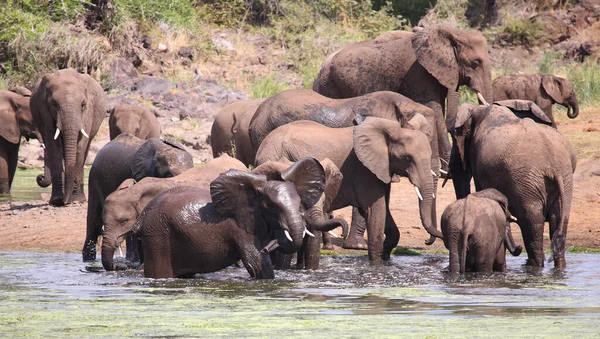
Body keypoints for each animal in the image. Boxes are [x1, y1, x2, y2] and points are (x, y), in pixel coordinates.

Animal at [30, 68, 108, 206]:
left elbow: (80, 145)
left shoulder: (88, 113)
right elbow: (53, 146)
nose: (65, 202)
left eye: (83, 105)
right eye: (54, 104)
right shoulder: (44, 111)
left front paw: (75, 200)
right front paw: (56, 201)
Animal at [122, 161, 328, 278]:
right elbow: (256, 263)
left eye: (300, 203)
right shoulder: (240, 227)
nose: (267, 247)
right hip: (158, 235)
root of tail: (141, 217)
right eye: (272, 207)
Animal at [454, 99, 576, 270]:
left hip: (526, 182)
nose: (518, 248)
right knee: (558, 221)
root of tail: (553, 166)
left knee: (531, 222)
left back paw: (533, 266)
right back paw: (556, 267)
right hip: (564, 180)